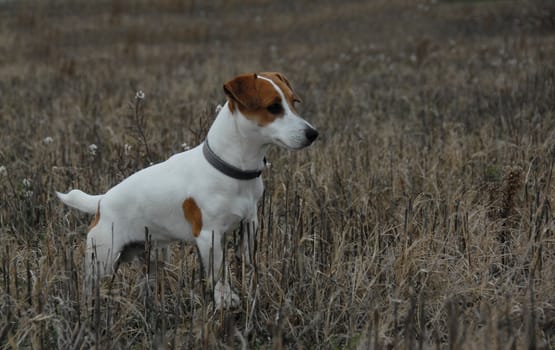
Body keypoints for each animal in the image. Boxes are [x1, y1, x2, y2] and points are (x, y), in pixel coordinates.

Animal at [57, 72, 320, 308]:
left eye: (294, 102)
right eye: (274, 107)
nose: (313, 133)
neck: (231, 169)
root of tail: (102, 202)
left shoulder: (249, 224)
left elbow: (247, 260)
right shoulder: (209, 236)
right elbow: (219, 272)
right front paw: (225, 300)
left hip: (152, 259)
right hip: (102, 261)